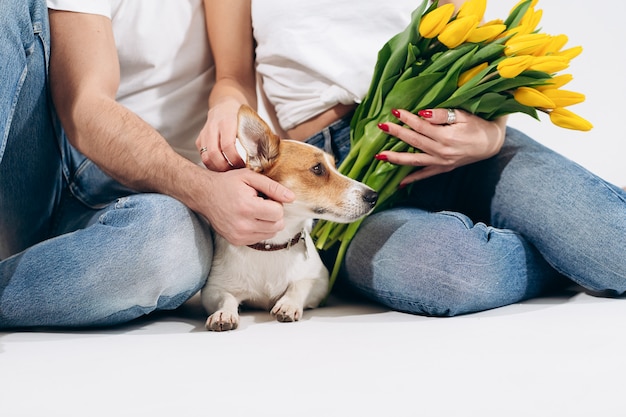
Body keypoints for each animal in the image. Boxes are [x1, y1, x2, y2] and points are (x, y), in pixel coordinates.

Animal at [200, 105, 376, 332]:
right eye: (317, 168)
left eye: (335, 166)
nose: (374, 196)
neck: (272, 245)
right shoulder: (213, 289)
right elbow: (226, 297)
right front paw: (224, 313)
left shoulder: (320, 281)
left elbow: (299, 285)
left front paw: (288, 304)